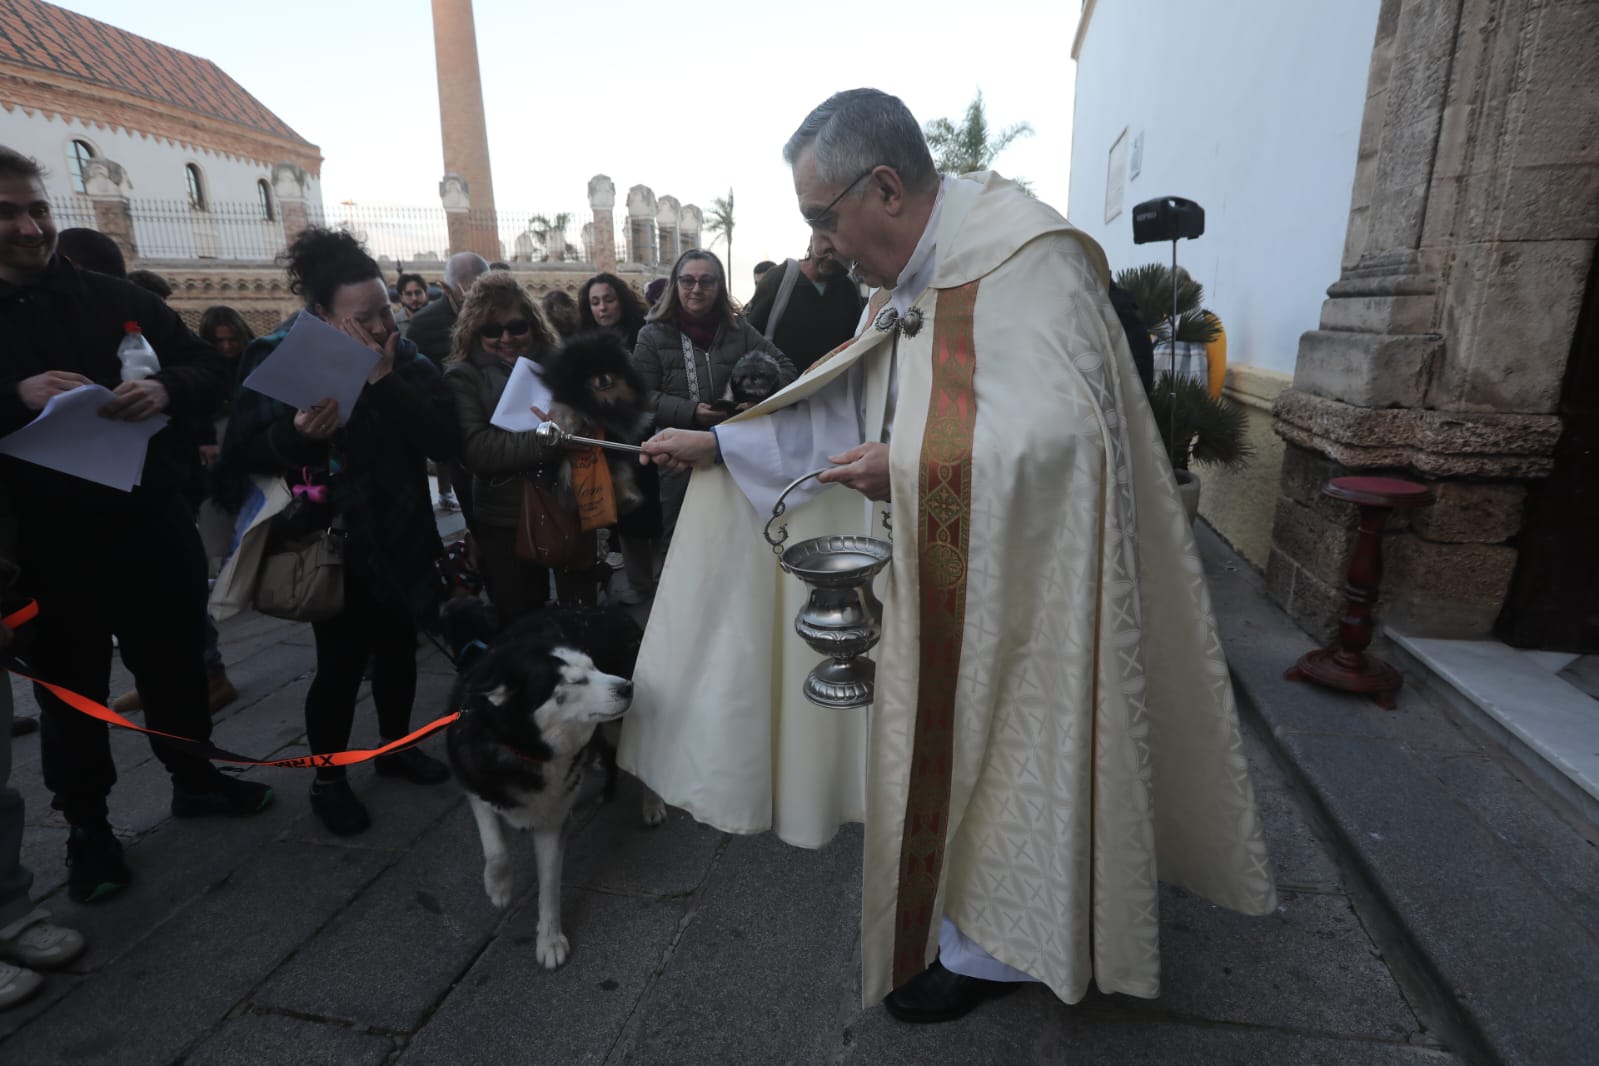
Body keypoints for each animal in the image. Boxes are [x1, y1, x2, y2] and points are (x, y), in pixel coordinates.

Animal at [441, 604, 645, 971]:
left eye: (594, 667)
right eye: (575, 681)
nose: (628, 686)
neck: (526, 749)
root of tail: (608, 606)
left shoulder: (552, 819)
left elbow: (549, 884)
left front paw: (550, 938)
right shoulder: (476, 786)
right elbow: (495, 849)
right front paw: (499, 886)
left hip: (621, 724)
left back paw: (653, 805)